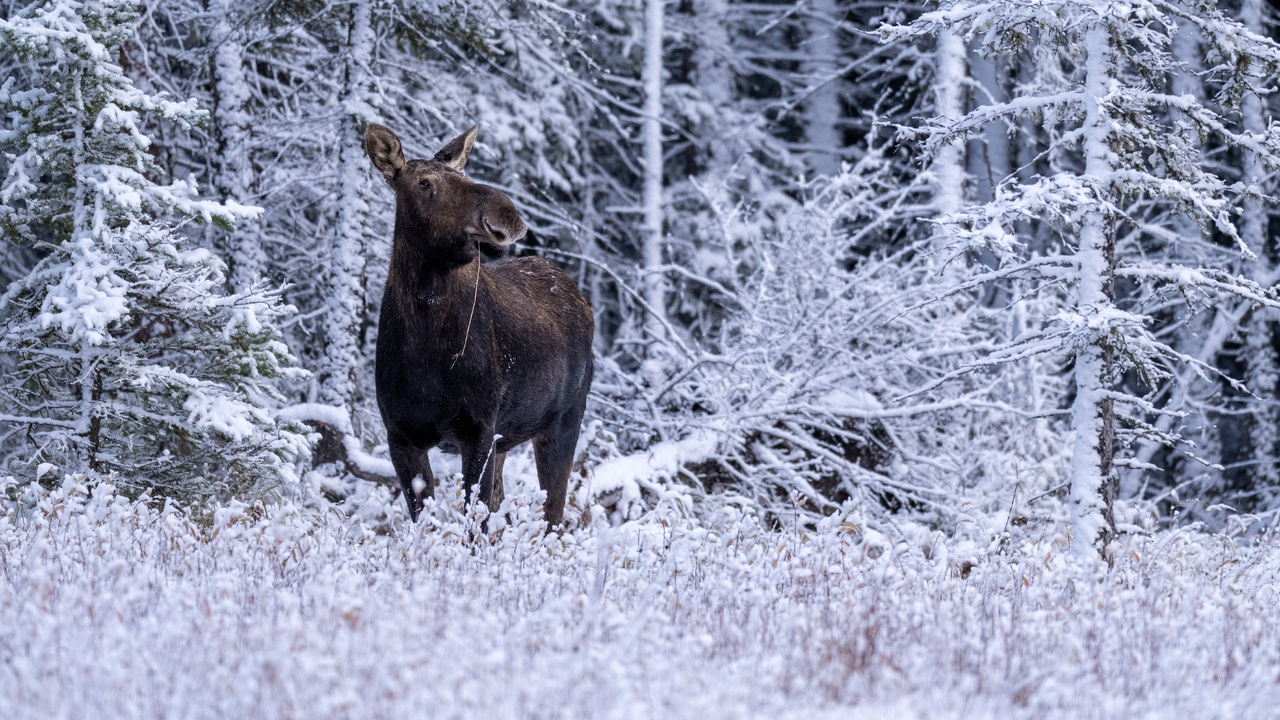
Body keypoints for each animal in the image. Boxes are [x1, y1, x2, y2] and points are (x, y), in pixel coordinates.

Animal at [365, 123, 594, 527]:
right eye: (425, 183)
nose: (506, 213)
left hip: (565, 418)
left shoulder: (479, 429)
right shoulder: (399, 433)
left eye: (465, 175)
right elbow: (425, 517)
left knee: (553, 515)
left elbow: (475, 522)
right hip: (511, 438)